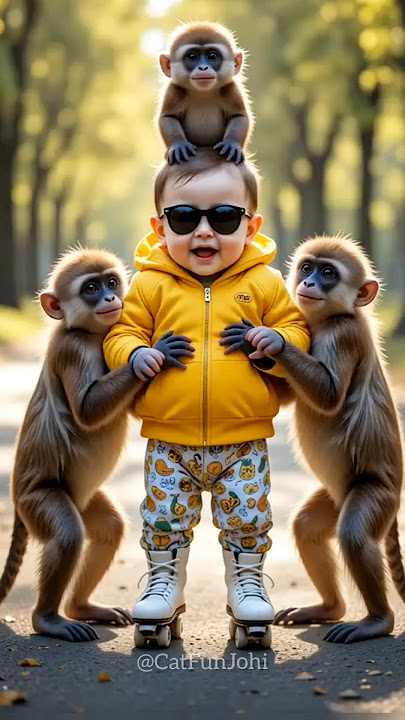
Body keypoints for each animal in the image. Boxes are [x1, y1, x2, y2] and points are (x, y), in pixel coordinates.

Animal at [0, 248, 193, 642]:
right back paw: (48, 619)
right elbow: (88, 412)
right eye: (91, 288)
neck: (83, 332)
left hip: (82, 497)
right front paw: (154, 353)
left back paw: (82, 607)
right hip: (36, 498)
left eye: (111, 282)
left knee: (108, 528)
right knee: (68, 534)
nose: (109, 299)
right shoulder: (73, 348)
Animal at [157, 21, 253, 164]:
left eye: (212, 56)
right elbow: (168, 117)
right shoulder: (174, 90)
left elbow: (239, 116)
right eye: (192, 57)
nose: (203, 67)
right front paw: (179, 145)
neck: (203, 93)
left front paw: (231, 144)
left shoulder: (231, 89)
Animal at [221, 236, 405, 643]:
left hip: (378, 494)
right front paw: (262, 353)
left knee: (354, 534)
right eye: (307, 268)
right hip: (338, 495)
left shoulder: (344, 335)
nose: (308, 283)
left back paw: (377, 621)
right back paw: (328, 608)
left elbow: (328, 397)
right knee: (307, 526)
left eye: (328, 273)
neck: (334, 318)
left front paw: (268, 340)